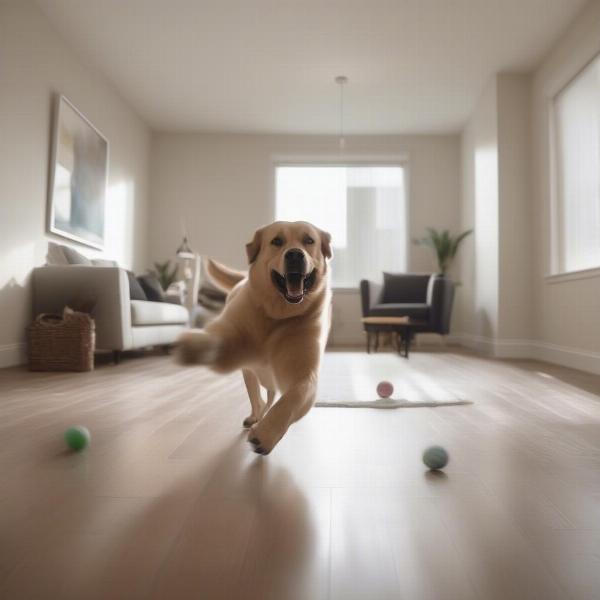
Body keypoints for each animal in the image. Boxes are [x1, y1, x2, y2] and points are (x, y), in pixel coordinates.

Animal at [177, 220, 332, 454]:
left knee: (269, 397)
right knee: (257, 398)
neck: (277, 318)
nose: (295, 255)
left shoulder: (305, 375)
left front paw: (266, 434)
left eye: (309, 240)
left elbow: (291, 399)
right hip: (249, 373)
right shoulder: (234, 340)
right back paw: (254, 416)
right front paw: (195, 345)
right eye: (277, 241)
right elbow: (216, 342)